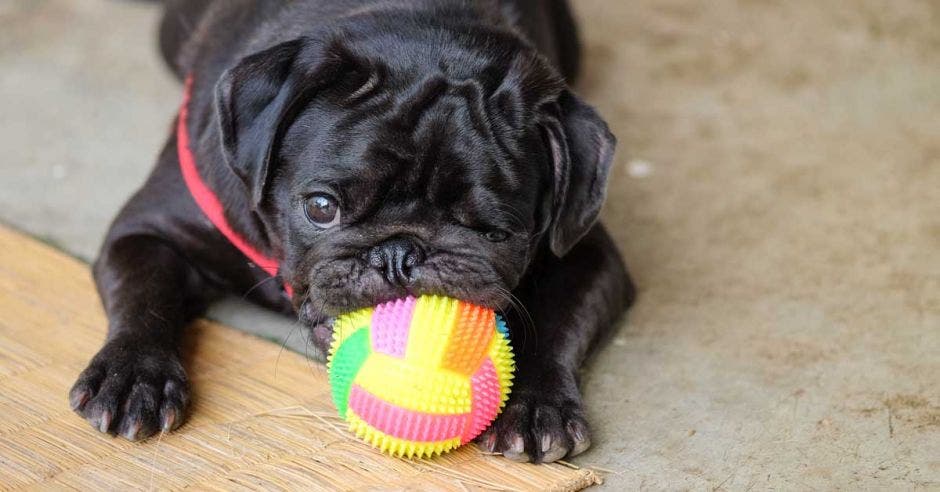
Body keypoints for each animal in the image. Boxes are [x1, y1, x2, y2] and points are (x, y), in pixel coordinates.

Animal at [70, 0, 636, 464]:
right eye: (322, 208)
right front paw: (133, 376)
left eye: (496, 232)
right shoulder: (146, 229)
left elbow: (556, 324)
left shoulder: (588, 255)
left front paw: (537, 406)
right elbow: (146, 294)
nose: (400, 253)